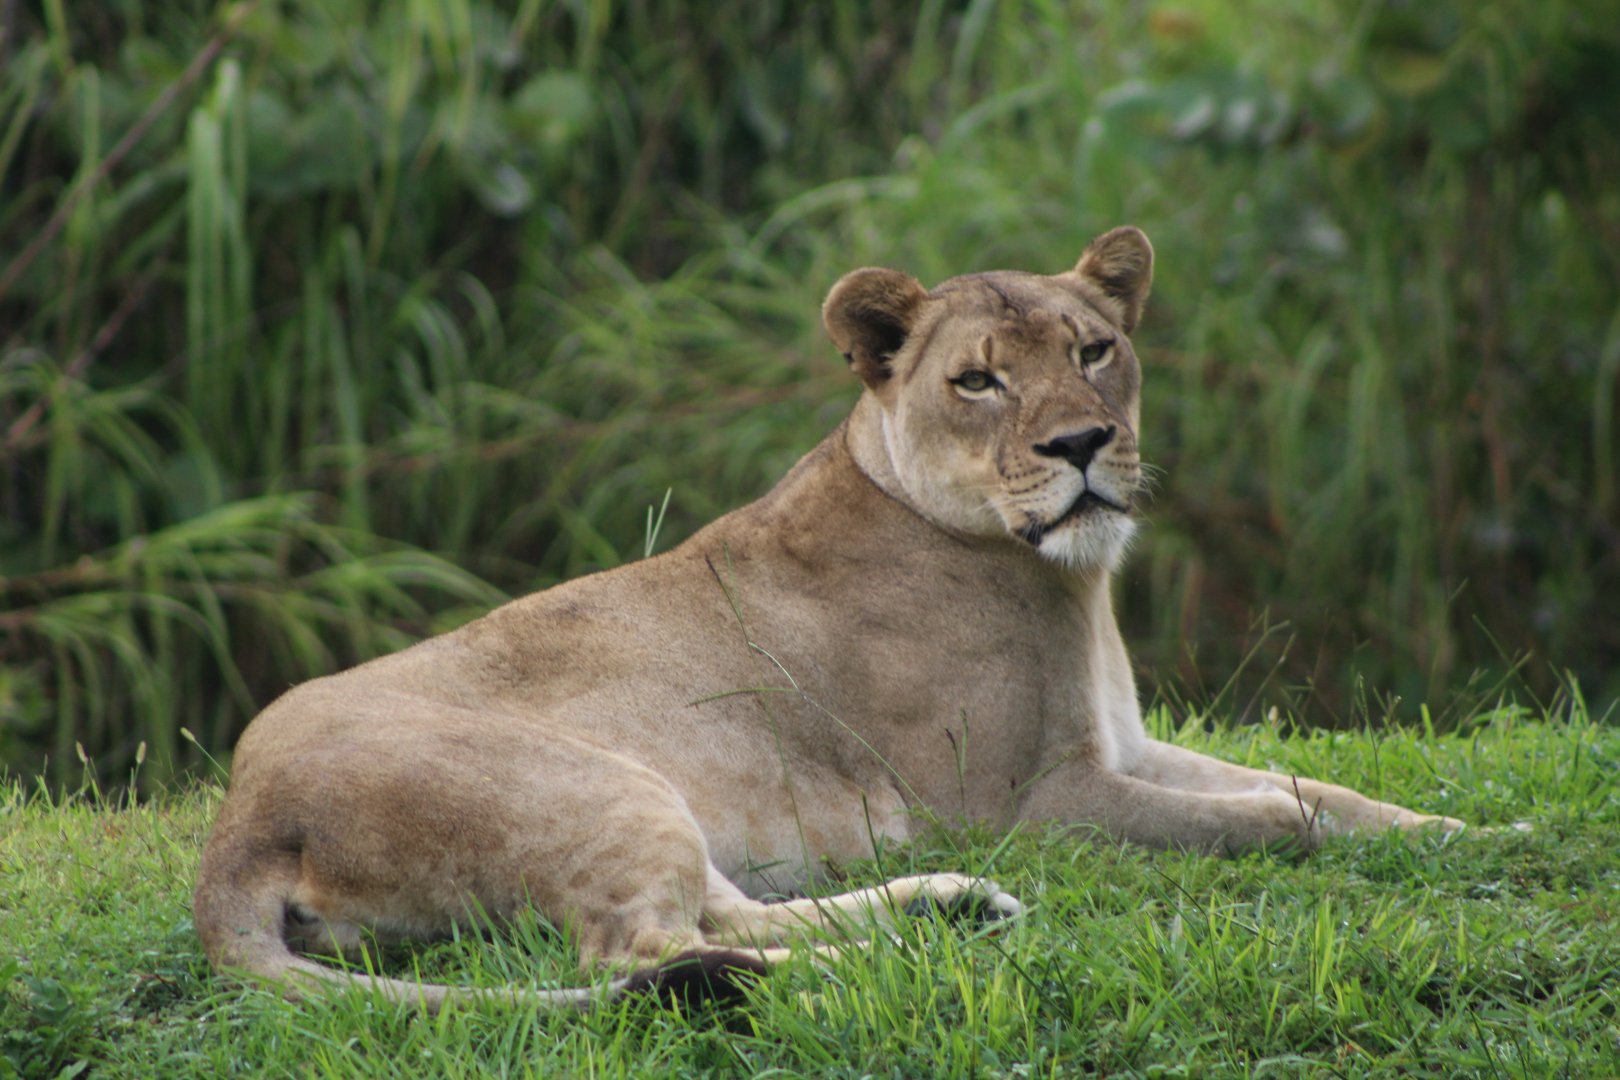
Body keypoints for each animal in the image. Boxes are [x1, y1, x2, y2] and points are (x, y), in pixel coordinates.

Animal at [193, 226, 1462, 1011]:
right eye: (978, 381)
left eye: (1095, 350)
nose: (1082, 445)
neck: (1065, 580)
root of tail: (236, 823)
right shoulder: (1027, 804)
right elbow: (1271, 820)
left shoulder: (1125, 746)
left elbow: (1320, 787)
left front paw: (1460, 832)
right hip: (599, 784)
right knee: (655, 948)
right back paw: (873, 967)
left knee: (726, 913)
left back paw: (949, 911)